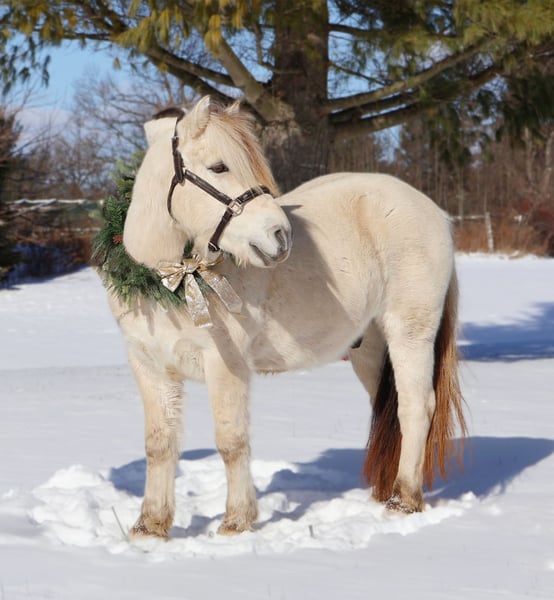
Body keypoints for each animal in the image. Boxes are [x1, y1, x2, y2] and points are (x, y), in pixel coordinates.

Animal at [105, 95, 466, 539]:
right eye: (219, 167)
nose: (281, 236)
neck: (174, 278)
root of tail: (436, 213)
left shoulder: (226, 365)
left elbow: (231, 441)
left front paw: (237, 521)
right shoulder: (150, 367)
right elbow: (159, 444)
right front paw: (150, 526)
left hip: (411, 333)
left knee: (416, 407)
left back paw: (405, 501)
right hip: (369, 350)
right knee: (391, 411)